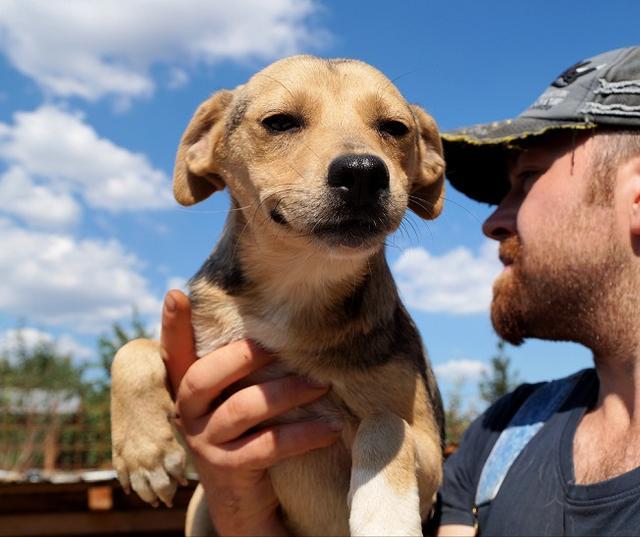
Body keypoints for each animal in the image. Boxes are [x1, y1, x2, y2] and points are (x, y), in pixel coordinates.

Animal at [111, 55, 444, 536]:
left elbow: (384, 423)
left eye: (395, 128)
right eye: (280, 122)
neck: (298, 284)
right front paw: (143, 452)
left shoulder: (431, 450)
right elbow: (133, 348)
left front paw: (385, 517)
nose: (363, 172)